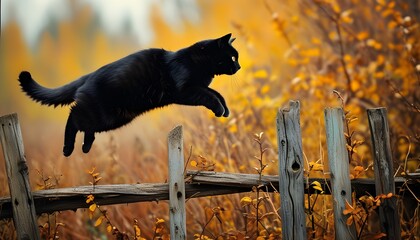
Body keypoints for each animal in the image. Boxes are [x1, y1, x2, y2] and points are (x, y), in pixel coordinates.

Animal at [19, 34, 241, 158]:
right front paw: (219, 109)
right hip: (102, 114)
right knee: (73, 117)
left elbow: (216, 93)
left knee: (86, 127)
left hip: (114, 117)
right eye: (232, 56)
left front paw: (225, 109)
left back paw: (85, 147)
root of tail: (88, 76)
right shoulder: (186, 89)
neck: (199, 63)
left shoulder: (198, 86)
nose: (238, 66)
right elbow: (210, 96)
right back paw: (67, 149)